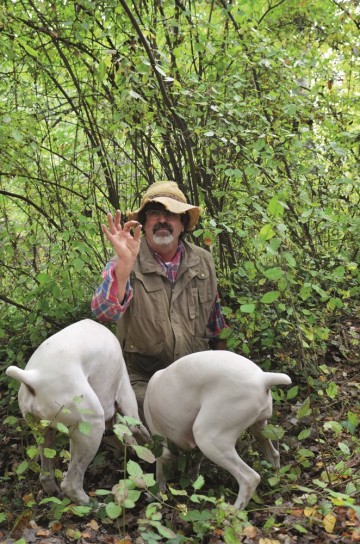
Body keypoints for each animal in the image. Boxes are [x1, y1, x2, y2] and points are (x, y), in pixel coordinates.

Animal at [5, 318, 148, 506]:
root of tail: (33, 378)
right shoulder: (126, 395)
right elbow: (136, 428)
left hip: (44, 433)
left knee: (46, 475)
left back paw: (55, 493)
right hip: (92, 427)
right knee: (71, 484)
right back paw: (94, 505)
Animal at [142, 352, 292, 510]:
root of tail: (263, 378)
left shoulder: (162, 446)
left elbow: (160, 475)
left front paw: (155, 497)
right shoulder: (195, 450)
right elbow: (195, 465)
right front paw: (193, 481)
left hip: (209, 439)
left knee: (250, 478)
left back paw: (232, 511)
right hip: (259, 429)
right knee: (273, 455)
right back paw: (276, 479)